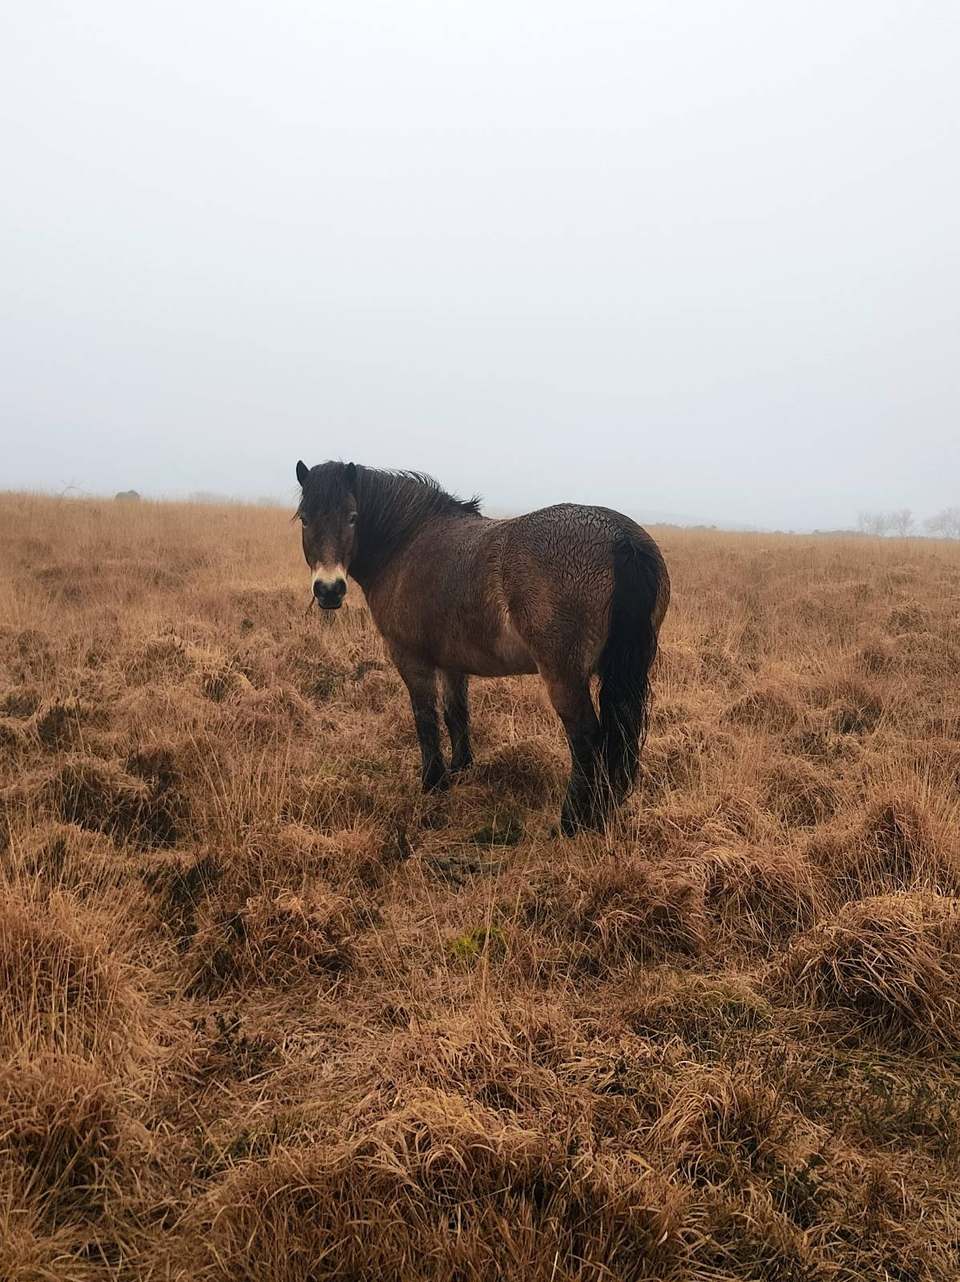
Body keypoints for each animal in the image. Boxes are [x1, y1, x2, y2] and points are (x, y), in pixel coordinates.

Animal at [295, 460, 670, 834]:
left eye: (352, 516)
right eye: (305, 518)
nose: (329, 590)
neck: (407, 544)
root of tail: (619, 538)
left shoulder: (411, 660)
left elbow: (425, 719)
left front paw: (433, 782)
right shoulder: (451, 663)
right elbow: (456, 714)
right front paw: (460, 769)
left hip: (563, 676)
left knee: (586, 738)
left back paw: (571, 822)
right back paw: (603, 812)